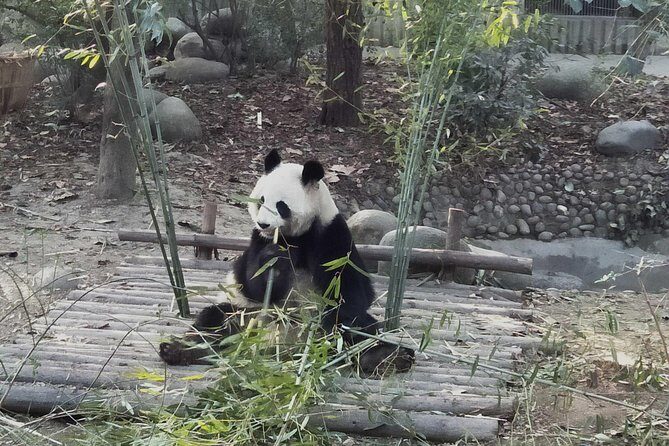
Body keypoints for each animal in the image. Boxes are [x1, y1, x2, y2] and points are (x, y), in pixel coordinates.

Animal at [160, 149, 414, 375]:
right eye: (261, 200)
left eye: (281, 205)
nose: (263, 224)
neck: (293, 237)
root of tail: (285, 345)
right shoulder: (257, 242)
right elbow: (253, 282)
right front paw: (274, 259)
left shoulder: (332, 235)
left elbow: (352, 291)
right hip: (246, 315)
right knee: (214, 322)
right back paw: (177, 349)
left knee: (361, 331)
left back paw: (386, 357)